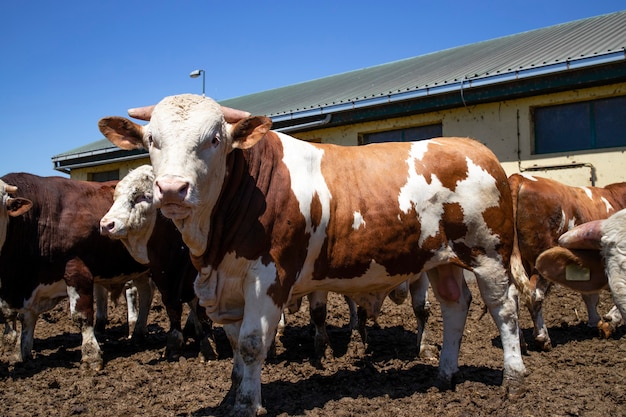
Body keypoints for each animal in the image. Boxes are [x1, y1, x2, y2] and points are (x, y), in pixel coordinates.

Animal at [0, 174, 151, 368]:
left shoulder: (77, 270)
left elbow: (81, 315)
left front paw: (91, 355)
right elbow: (25, 318)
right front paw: (22, 355)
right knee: (146, 294)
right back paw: (138, 333)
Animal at [98, 164, 214, 360]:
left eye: (142, 196)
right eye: (116, 197)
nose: (107, 224)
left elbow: (200, 308)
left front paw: (207, 346)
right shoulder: (162, 274)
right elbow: (173, 308)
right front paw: (174, 345)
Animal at [508, 172, 624, 352]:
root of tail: (520, 177)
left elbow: (589, 293)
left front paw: (595, 321)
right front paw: (610, 321)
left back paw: (519, 341)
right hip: (541, 259)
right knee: (535, 295)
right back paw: (542, 338)